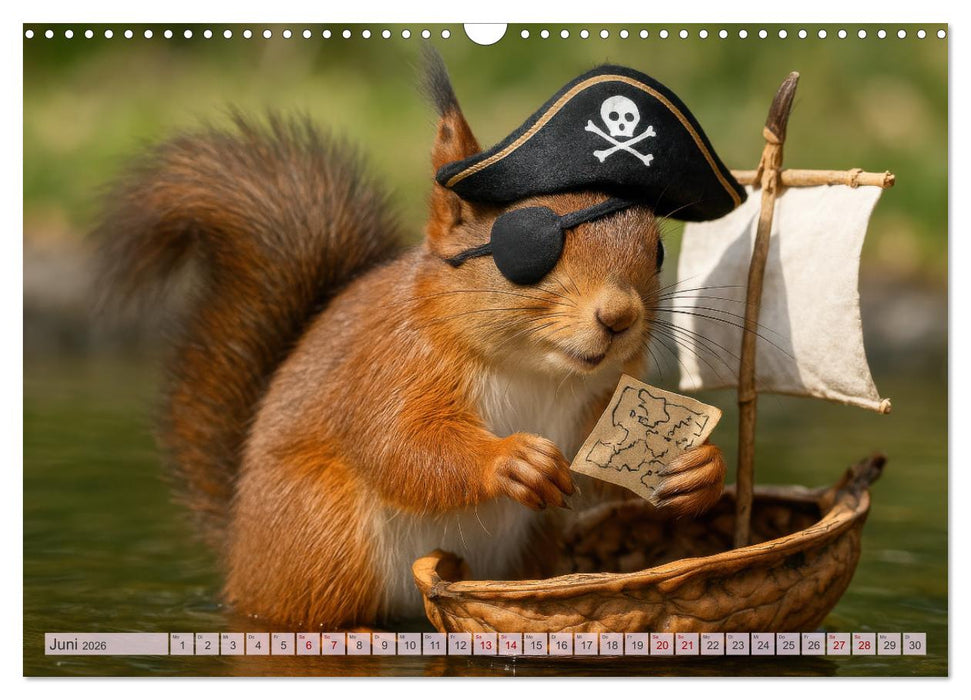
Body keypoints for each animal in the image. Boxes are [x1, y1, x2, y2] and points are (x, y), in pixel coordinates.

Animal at [95, 56, 727, 630]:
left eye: (659, 251)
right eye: (525, 245)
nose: (620, 316)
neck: (535, 370)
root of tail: (240, 556)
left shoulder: (598, 406)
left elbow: (601, 486)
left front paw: (700, 469)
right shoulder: (391, 364)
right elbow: (399, 444)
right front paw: (508, 459)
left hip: (529, 544)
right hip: (324, 531)